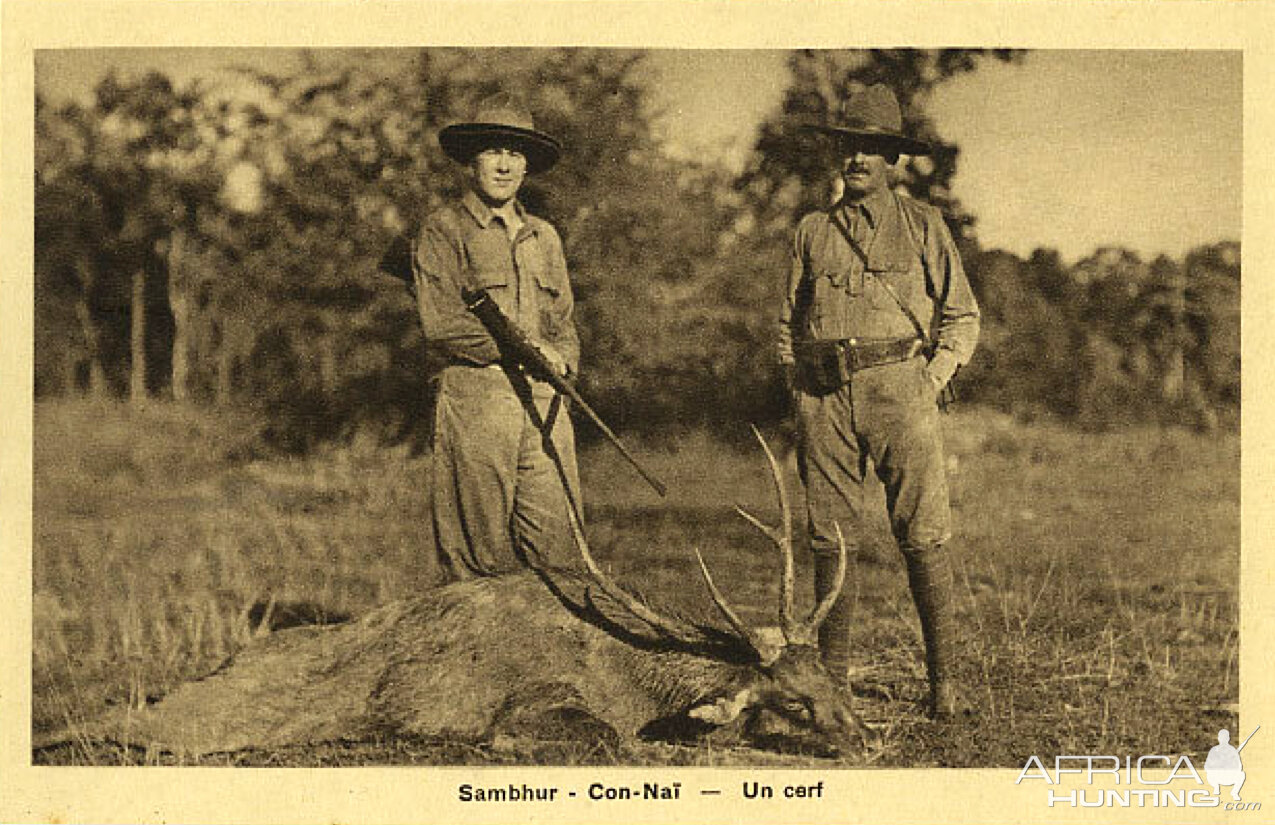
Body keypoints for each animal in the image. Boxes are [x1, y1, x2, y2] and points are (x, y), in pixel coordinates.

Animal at [37, 433, 867, 759]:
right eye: (792, 699)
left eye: (832, 678)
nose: (860, 735)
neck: (638, 673)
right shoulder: (538, 695)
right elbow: (599, 736)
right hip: (209, 717)